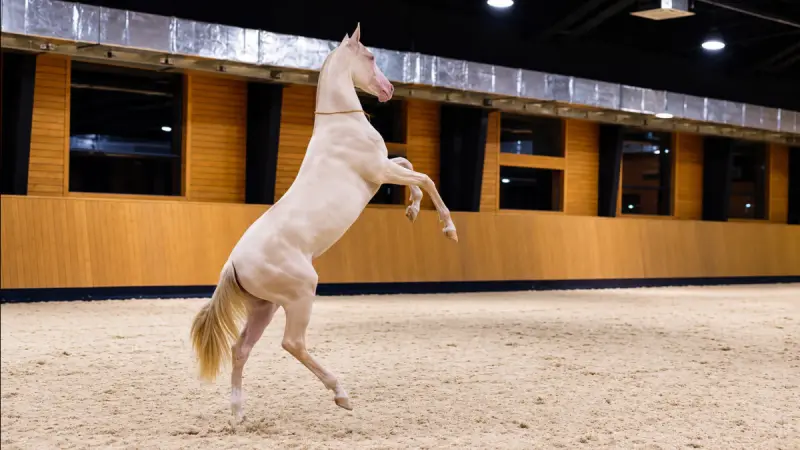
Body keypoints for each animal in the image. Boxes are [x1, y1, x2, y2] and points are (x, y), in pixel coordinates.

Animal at [190, 23, 458, 422]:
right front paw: (448, 228)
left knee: (241, 349)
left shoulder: (384, 171)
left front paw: (411, 211)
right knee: (292, 343)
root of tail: (233, 264)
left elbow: (410, 166)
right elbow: (424, 177)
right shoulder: (380, 172)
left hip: (264, 307)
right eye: (371, 57)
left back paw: (238, 412)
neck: (341, 125)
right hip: (301, 295)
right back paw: (341, 393)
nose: (388, 90)